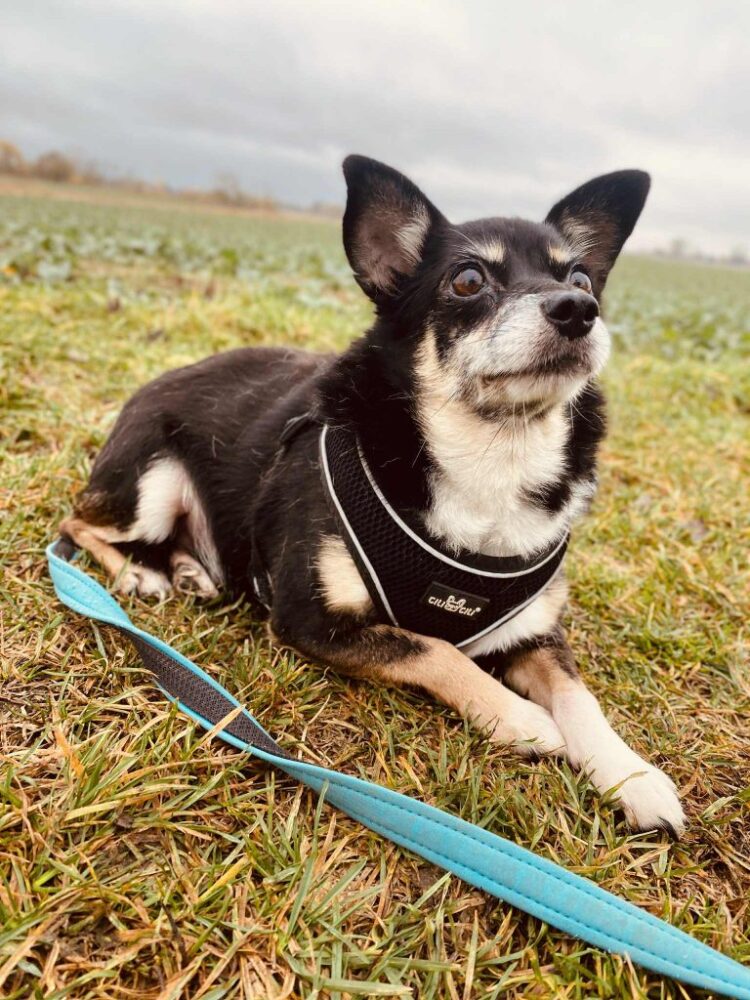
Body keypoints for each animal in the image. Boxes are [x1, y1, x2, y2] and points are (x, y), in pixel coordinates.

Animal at [60, 155, 685, 836]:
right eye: (468, 279)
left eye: (579, 276)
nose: (579, 308)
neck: (491, 453)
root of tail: (153, 382)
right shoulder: (310, 619)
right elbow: (436, 649)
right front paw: (520, 719)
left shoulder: (533, 632)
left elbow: (579, 695)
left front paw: (632, 775)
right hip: (151, 485)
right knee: (76, 523)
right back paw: (139, 575)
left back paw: (189, 570)